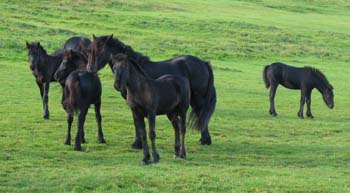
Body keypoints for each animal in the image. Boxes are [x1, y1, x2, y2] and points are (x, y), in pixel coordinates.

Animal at [86, 34, 215, 147]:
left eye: (100, 49)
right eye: (89, 51)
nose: (90, 69)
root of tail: (204, 63)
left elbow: (137, 123)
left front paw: (137, 144)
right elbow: (136, 122)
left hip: (197, 98)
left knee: (201, 115)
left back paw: (205, 140)